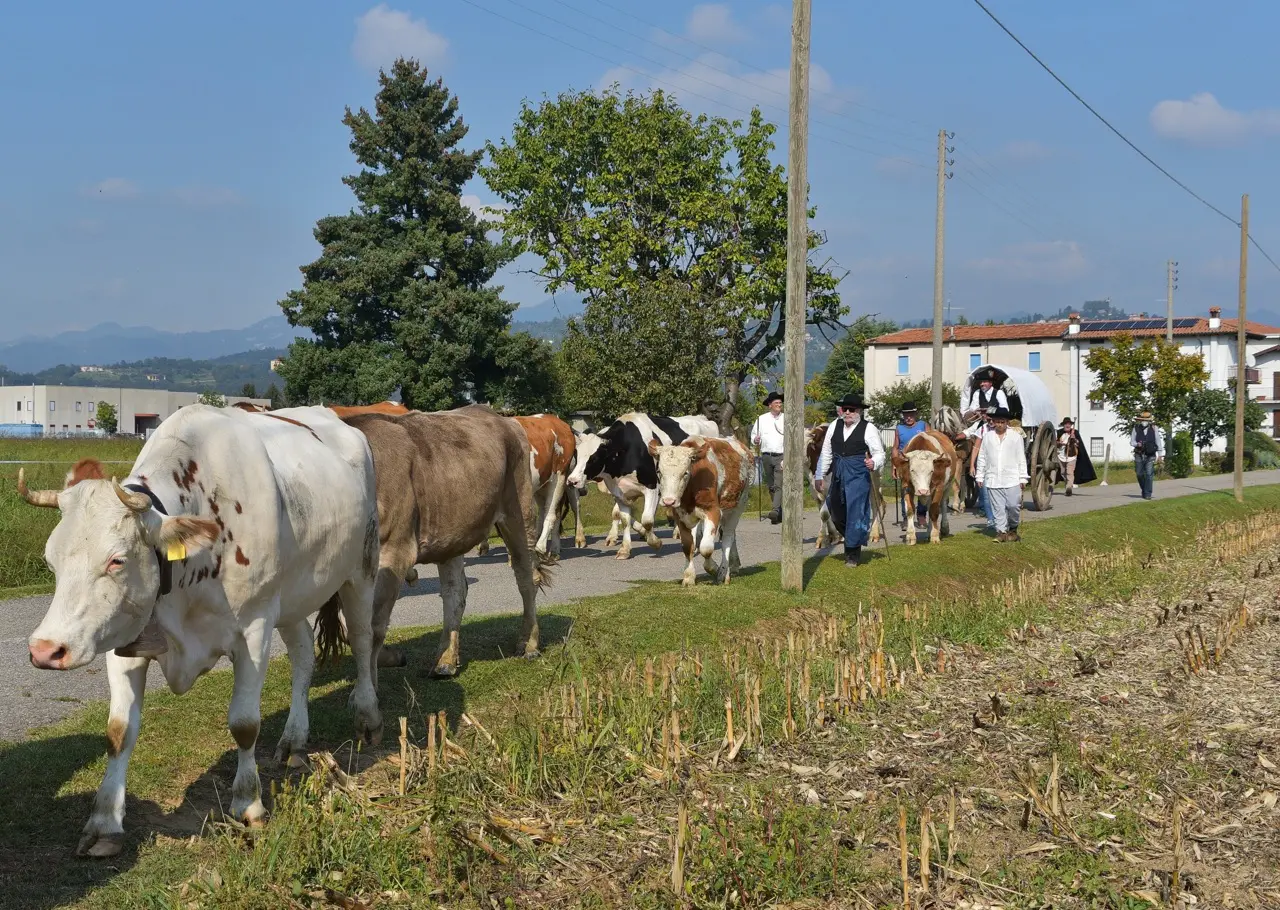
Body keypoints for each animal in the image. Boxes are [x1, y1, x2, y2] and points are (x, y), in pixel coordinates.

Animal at [17, 401, 381, 860]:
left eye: (117, 560)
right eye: (51, 559)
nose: (46, 649)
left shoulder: (254, 630)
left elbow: (244, 723)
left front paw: (248, 805)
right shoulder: (124, 639)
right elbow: (119, 731)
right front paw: (104, 823)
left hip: (362, 567)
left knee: (364, 640)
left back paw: (367, 717)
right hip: (292, 597)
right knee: (302, 657)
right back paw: (295, 740)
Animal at [568, 414, 721, 558]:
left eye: (594, 458)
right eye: (576, 455)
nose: (572, 480)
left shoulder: (652, 487)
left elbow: (647, 520)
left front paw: (655, 542)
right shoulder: (620, 493)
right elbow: (624, 519)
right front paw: (625, 549)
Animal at [650, 435, 747, 591]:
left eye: (685, 473)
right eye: (659, 472)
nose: (669, 501)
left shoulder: (713, 512)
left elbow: (706, 548)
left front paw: (715, 569)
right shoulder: (680, 517)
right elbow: (688, 546)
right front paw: (689, 577)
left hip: (737, 507)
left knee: (728, 537)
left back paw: (724, 572)